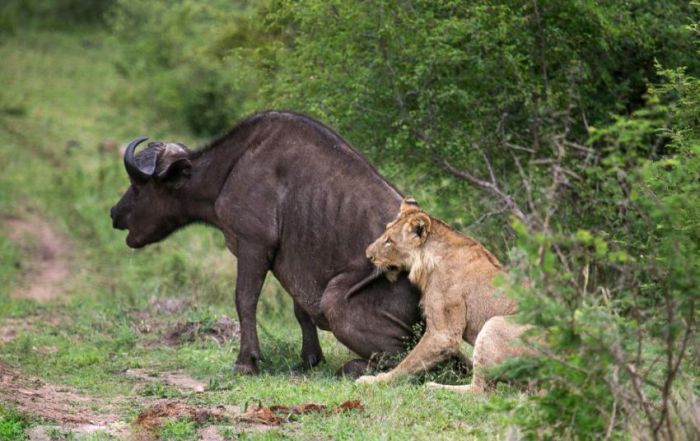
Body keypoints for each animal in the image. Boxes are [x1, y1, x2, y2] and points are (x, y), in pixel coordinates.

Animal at [110, 111, 422, 374]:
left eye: (137, 186)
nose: (114, 213)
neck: (231, 168)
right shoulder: (295, 263)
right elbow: (300, 310)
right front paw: (310, 359)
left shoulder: (252, 245)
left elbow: (244, 300)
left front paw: (246, 361)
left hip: (336, 300)